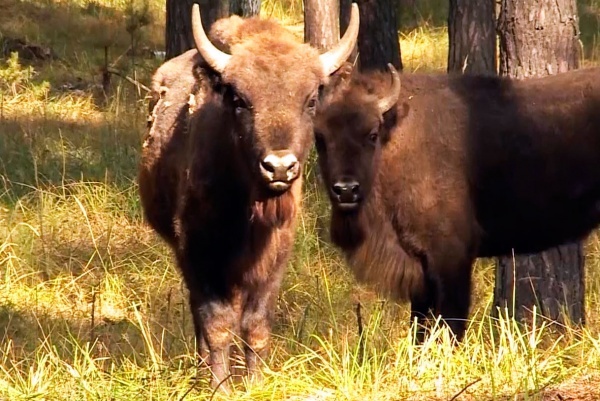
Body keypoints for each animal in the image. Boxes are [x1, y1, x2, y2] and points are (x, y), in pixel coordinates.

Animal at [139, 4, 360, 390]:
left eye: (311, 99)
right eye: (240, 100)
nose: (279, 167)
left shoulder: (273, 260)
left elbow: (256, 324)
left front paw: (254, 383)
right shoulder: (199, 255)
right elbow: (217, 324)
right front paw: (219, 386)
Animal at [314, 62, 600, 340]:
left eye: (372, 134)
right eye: (320, 139)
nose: (346, 190)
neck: (395, 137)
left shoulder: (451, 260)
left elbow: (451, 325)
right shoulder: (421, 270)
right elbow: (419, 327)